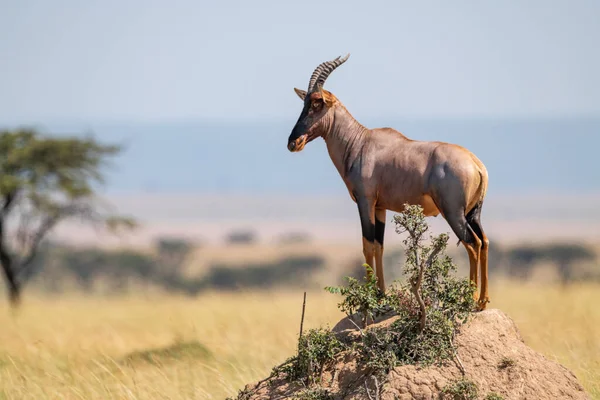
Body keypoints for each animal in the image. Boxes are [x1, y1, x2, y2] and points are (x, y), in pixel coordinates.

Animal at [288, 54, 490, 310]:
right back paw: (483, 300)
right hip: (474, 212)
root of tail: (476, 164)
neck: (360, 142)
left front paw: (369, 297)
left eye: (317, 103)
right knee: (484, 241)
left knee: (472, 243)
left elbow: (367, 244)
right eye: (304, 102)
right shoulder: (380, 207)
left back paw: (469, 299)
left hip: (453, 212)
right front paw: (381, 294)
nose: (293, 142)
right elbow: (379, 246)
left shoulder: (364, 201)